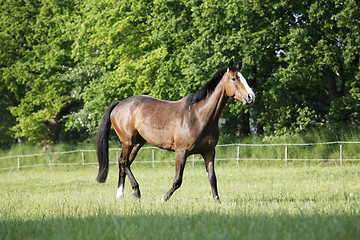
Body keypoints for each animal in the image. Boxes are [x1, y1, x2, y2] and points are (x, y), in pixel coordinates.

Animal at [94, 59, 255, 202]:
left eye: (245, 78)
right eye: (234, 78)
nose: (250, 97)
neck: (198, 116)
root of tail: (119, 104)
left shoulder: (209, 152)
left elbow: (212, 178)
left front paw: (217, 201)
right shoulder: (181, 152)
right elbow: (178, 180)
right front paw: (163, 198)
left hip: (137, 143)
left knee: (124, 163)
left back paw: (121, 195)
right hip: (128, 141)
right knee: (123, 162)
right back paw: (136, 191)